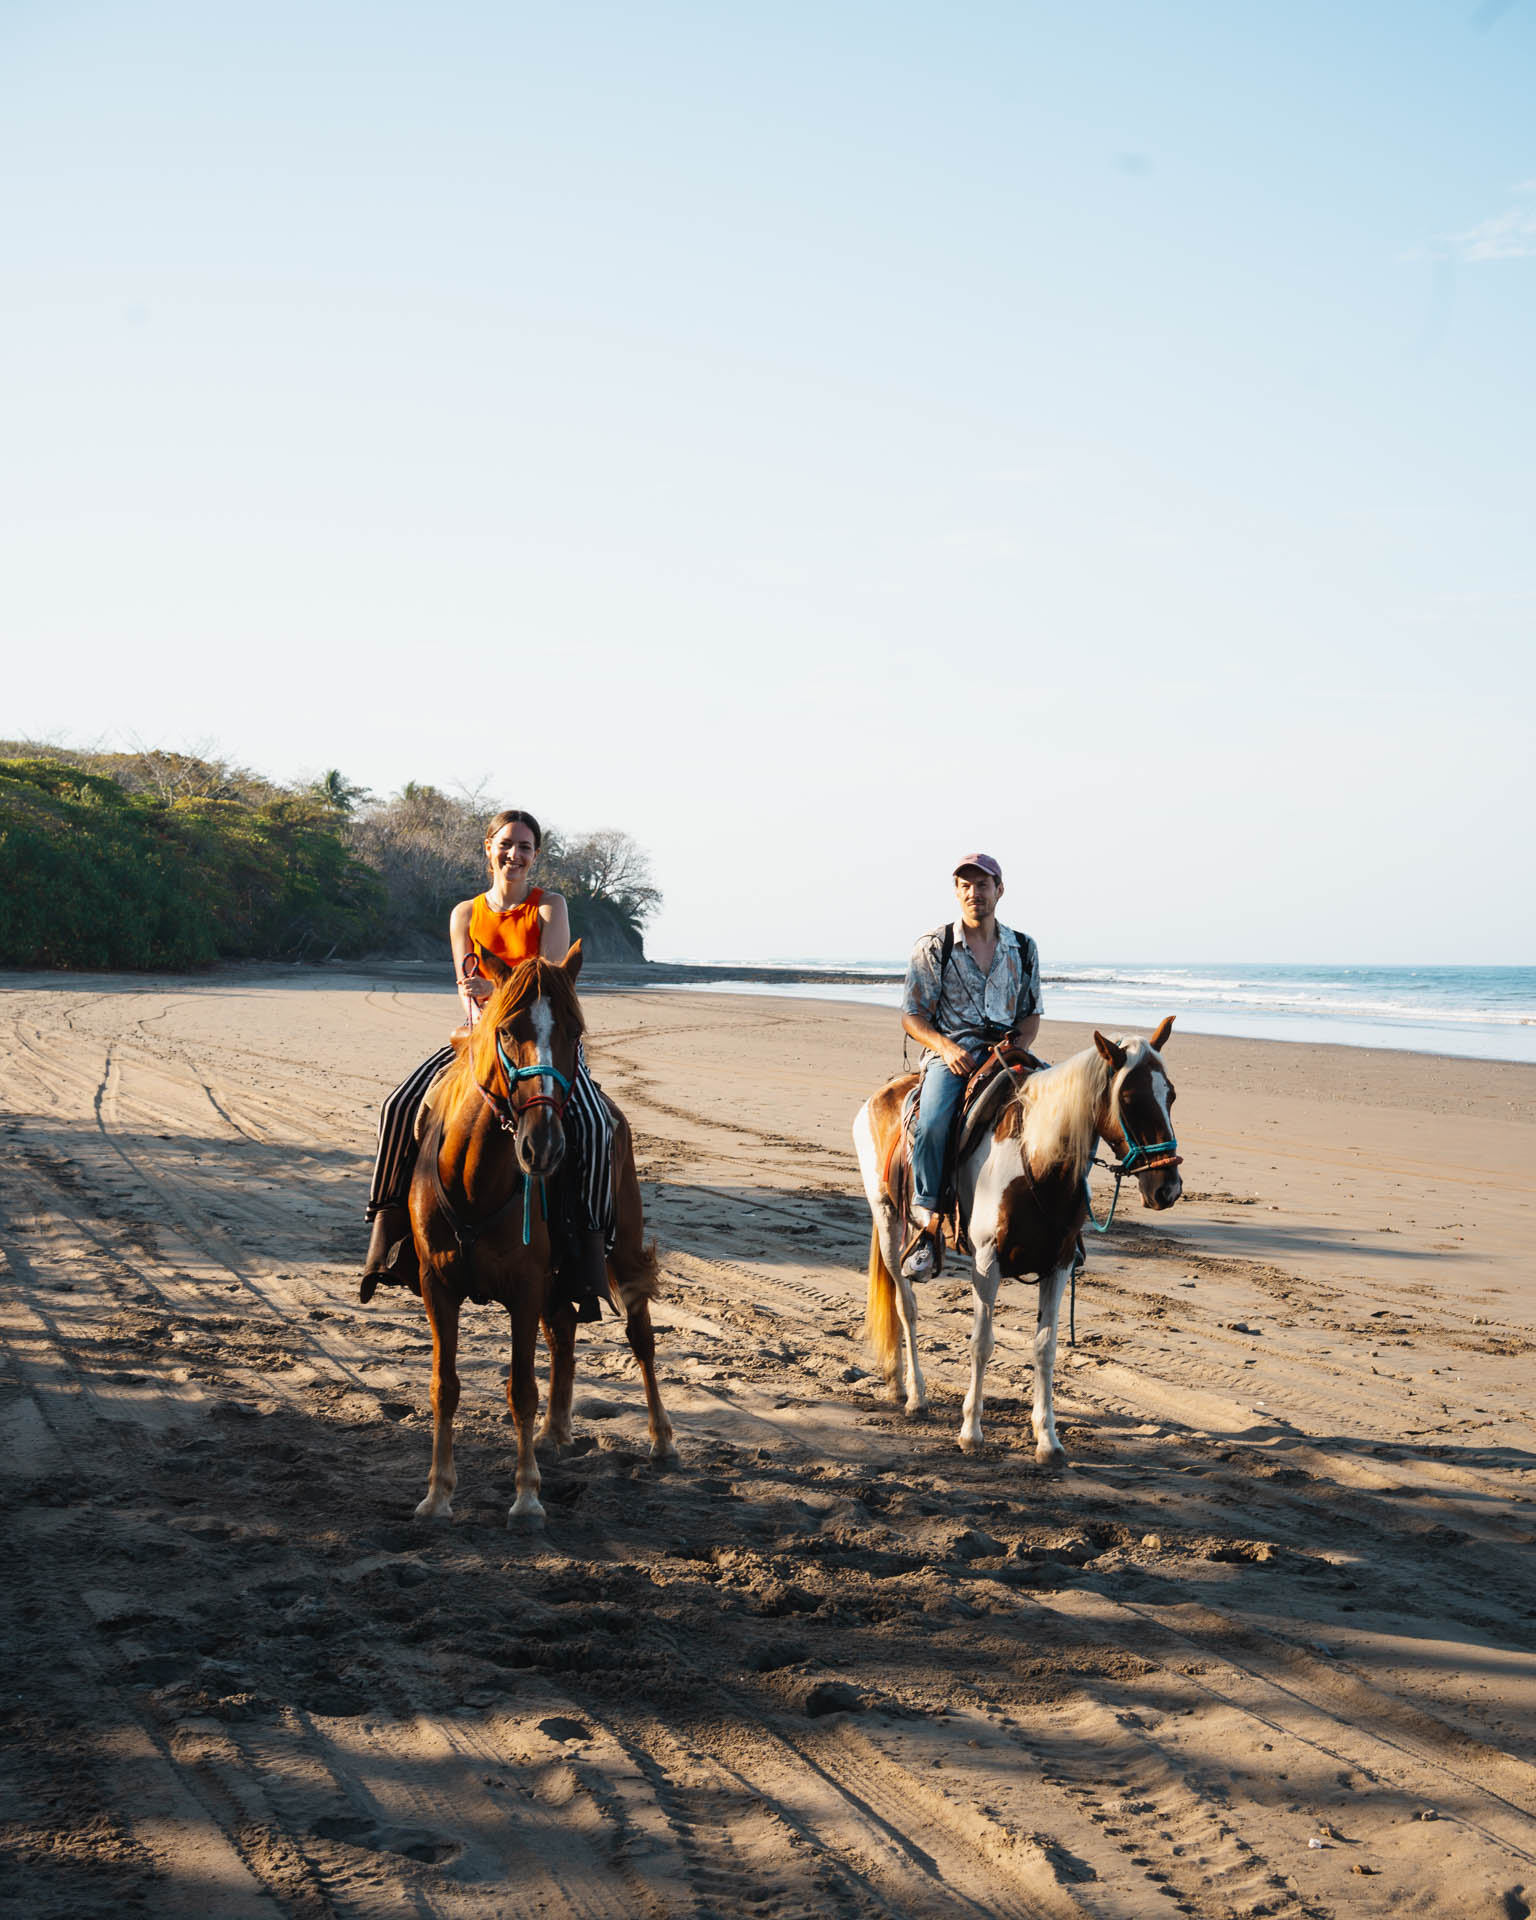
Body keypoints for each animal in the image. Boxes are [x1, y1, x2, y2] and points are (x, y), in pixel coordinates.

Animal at [407, 944, 672, 1528]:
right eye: (507, 1030)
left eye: (576, 1032)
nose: (544, 1147)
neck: (476, 1178)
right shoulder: (437, 1285)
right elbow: (444, 1386)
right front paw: (437, 1493)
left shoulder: (525, 1287)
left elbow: (521, 1389)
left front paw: (527, 1496)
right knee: (565, 1332)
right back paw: (556, 1432)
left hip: (623, 1246)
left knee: (639, 1336)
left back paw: (662, 1438)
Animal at [852, 1021, 1175, 1451]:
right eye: (1128, 1098)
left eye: (1170, 1094)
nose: (1167, 1188)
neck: (1038, 1163)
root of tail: (883, 1093)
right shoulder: (987, 1263)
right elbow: (982, 1343)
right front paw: (971, 1431)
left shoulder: (1059, 1264)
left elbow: (1045, 1347)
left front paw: (1047, 1438)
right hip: (887, 1218)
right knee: (907, 1306)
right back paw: (915, 1395)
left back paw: (897, 1383)